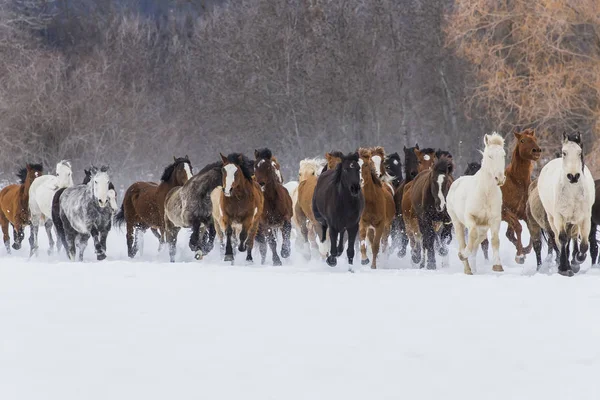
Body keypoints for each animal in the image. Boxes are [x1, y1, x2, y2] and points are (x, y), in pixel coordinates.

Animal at [446, 134, 506, 276]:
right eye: (490, 156)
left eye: (503, 155)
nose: (500, 179)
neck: (485, 193)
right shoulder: (470, 218)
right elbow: (472, 236)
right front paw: (462, 255)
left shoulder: (495, 219)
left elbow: (495, 240)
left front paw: (497, 266)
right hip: (457, 222)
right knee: (464, 243)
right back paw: (467, 268)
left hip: (483, 227)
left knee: (478, 242)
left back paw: (472, 267)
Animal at [536, 131, 592, 276]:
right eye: (564, 152)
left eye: (579, 152)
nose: (573, 176)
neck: (572, 192)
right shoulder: (559, 217)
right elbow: (562, 239)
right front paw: (564, 268)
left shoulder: (584, 218)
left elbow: (584, 245)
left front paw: (577, 261)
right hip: (552, 219)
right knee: (559, 240)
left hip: (571, 221)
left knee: (571, 238)